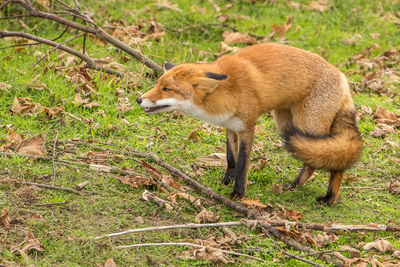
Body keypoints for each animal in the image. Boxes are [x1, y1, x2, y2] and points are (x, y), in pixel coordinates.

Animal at [137, 43, 362, 205]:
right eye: (158, 84)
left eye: (167, 89)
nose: (139, 99)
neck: (227, 91)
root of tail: (343, 79)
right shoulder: (230, 126)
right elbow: (231, 160)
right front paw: (224, 183)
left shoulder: (247, 127)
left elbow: (243, 164)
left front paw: (238, 194)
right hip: (289, 127)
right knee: (311, 162)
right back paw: (294, 185)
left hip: (309, 127)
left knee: (334, 162)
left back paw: (330, 198)